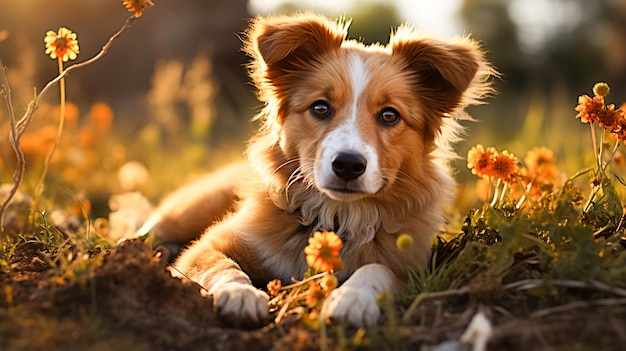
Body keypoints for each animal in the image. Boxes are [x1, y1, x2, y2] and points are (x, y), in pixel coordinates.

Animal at [144, 13, 490, 328]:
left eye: (390, 115)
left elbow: (376, 269)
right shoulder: (208, 245)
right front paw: (241, 295)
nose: (348, 164)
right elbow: (223, 266)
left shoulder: (411, 268)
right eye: (320, 107)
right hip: (187, 210)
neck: (337, 217)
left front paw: (353, 299)